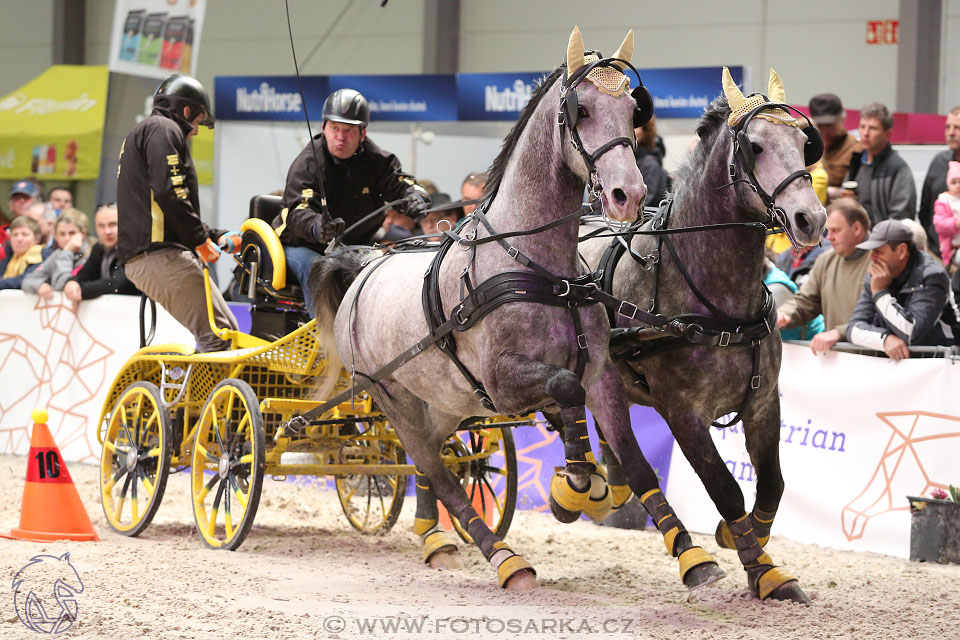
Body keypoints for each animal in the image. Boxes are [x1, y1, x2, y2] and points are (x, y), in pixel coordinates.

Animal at [580, 67, 828, 604]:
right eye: (754, 146)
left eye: (805, 143)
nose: (812, 219)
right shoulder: (684, 414)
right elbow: (725, 488)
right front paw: (764, 572)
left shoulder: (763, 401)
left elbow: (772, 483)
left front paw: (740, 538)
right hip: (602, 386)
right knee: (635, 465)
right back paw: (690, 558)